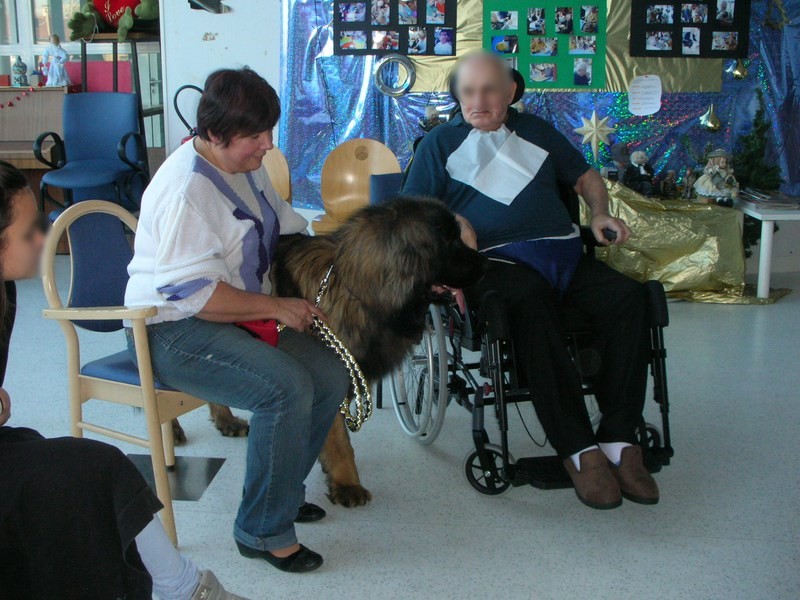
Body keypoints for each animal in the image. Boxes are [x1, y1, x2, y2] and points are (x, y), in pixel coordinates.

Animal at [178, 197, 487, 506]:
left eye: (459, 235)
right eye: (448, 242)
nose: (485, 261)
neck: (358, 291)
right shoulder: (332, 375)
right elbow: (339, 439)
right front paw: (347, 483)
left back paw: (226, 421)